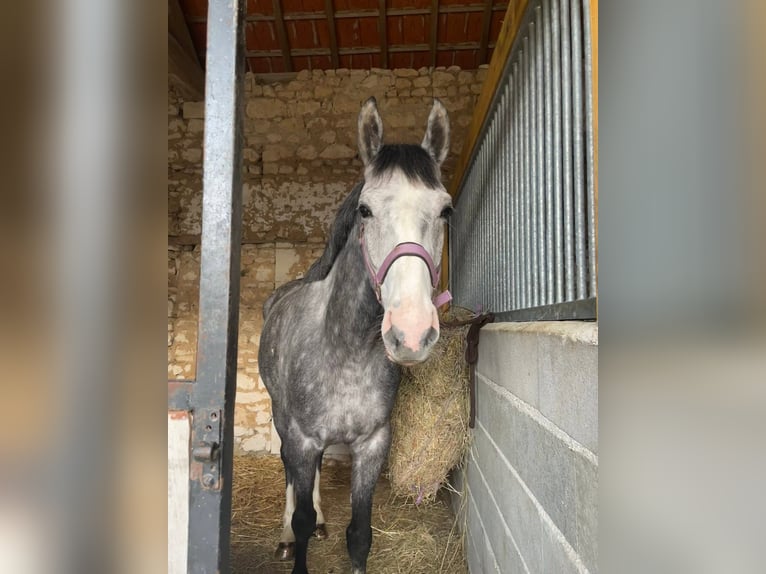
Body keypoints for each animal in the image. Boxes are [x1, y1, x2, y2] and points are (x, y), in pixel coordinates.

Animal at [258, 97, 453, 574]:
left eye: (445, 210)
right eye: (365, 210)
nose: (412, 332)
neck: (346, 351)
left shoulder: (372, 444)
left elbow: (359, 534)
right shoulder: (302, 438)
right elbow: (301, 516)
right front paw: (297, 535)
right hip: (281, 417)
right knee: (291, 473)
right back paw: (286, 534)